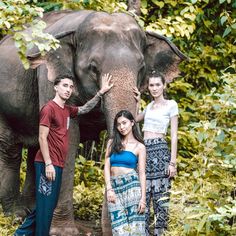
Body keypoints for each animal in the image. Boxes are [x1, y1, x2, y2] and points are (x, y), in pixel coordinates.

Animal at [0, 9, 186, 234]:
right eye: (93, 67)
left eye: (142, 67)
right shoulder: (47, 78)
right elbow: (69, 137)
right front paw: (63, 232)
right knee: (10, 150)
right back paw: (16, 215)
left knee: (36, 148)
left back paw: (30, 211)